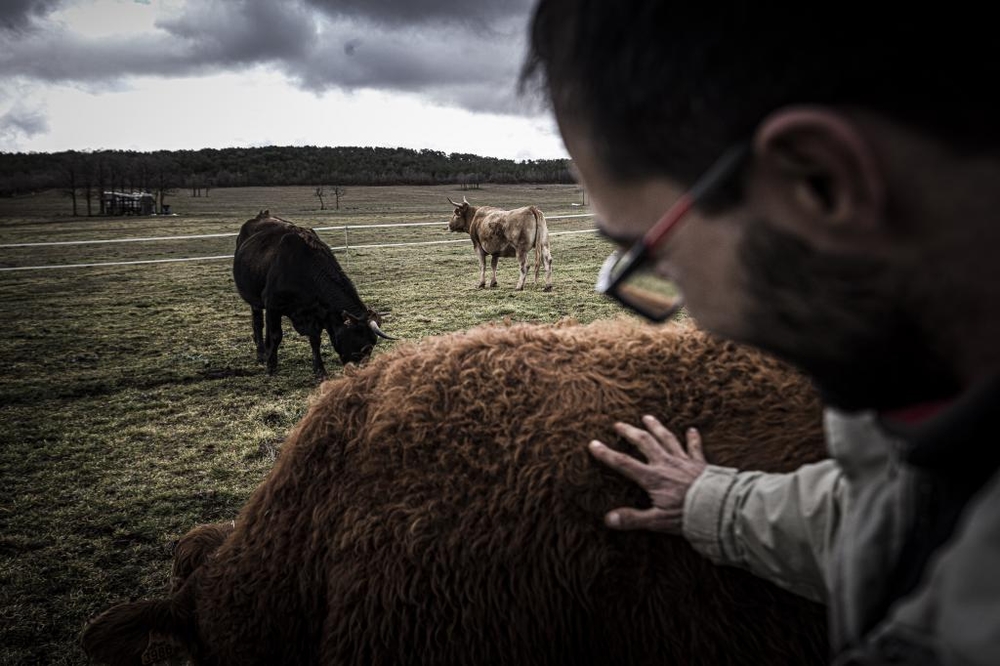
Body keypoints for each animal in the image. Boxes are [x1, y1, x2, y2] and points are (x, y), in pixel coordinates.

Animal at [232, 210, 392, 376]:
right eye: (365, 347)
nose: (361, 371)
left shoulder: (316, 313)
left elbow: (315, 340)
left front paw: (319, 369)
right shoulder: (273, 304)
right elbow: (277, 335)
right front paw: (271, 366)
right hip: (256, 302)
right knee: (258, 324)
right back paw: (262, 354)